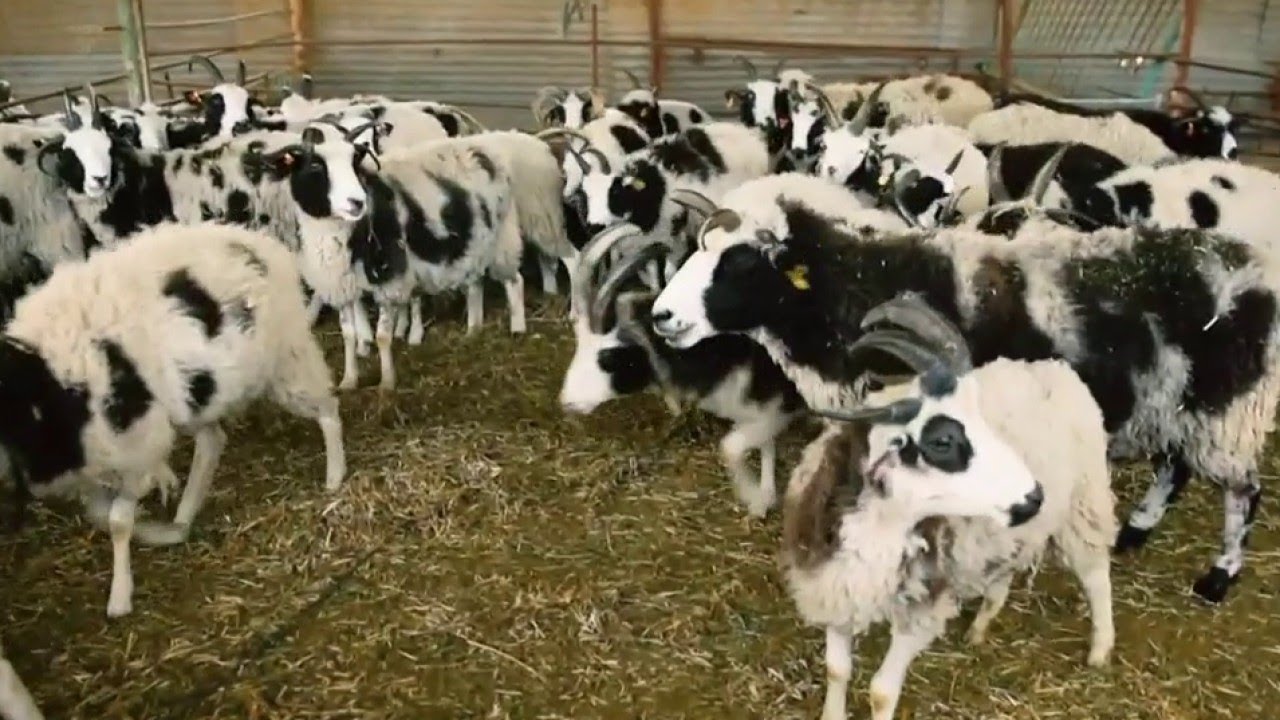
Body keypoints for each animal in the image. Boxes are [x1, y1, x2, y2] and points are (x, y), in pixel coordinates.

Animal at [0, 221, 346, 617]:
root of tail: (258, 242)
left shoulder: (137, 446)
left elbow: (117, 521)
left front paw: (120, 596)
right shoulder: (98, 458)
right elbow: (101, 515)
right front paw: (159, 534)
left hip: (286, 358)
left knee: (327, 408)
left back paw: (335, 474)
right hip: (198, 392)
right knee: (212, 441)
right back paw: (183, 517)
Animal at [559, 222, 804, 516]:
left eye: (607, 357)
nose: (566, 401)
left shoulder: (777, 405)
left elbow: (730, 448)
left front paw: (752, 494)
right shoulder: (758, 409)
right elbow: (764, 447)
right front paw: (763, 497)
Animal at [649, 179, 1280, 604]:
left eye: (740, 262)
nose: (661, 317)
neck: (857, 285)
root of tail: (1252, 264)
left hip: (1226, 408)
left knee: (1242, 492)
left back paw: (1218, 576)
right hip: (1176, 402)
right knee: (1175, 467)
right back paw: (1135, 532)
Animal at [782, 300, 1114, 720]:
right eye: (942, 441)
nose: (1034, 496)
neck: (882, 528)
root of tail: (1056, 367)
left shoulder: (921, 611)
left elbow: (881, 692)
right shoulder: (836, 588)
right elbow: (836, 669)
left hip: (1083, 504)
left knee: (1096, 575)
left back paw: (1101, 649)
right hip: (1009, 536)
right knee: (1005, 573)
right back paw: (979, 628)